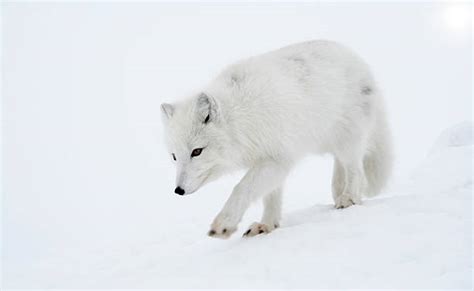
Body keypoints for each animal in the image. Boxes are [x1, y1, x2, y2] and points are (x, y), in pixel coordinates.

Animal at [161, 40, 390, 238]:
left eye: (197, 151)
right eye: (174, 157)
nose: (178, 190)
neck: (240, 117)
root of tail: (357, 59)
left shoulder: (277, 158)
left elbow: (242, 188)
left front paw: (224, 224)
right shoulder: (267, 159)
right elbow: (270, 197)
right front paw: (267, 225)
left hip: (348, 142)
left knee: (356, 170)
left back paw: (349, 197)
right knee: (341, 165)